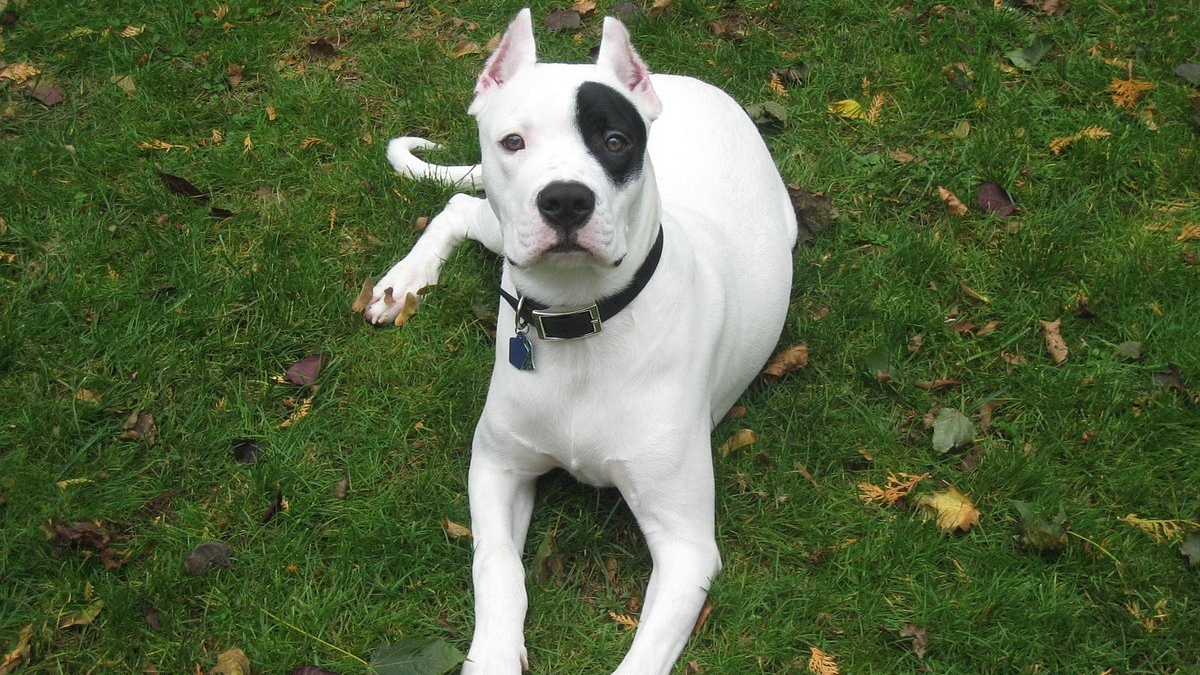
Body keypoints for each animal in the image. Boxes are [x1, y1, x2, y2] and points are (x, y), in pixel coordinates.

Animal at [362, 10, 796, 672]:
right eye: (513, 142)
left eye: (614, 141)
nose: (565, 198)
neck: (581, 322)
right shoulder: (496, 466)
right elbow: (497, 567)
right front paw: (492, 654)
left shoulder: (687, 545)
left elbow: (643, 656)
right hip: (501, 228)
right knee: (461, 204)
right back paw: (403, 282)